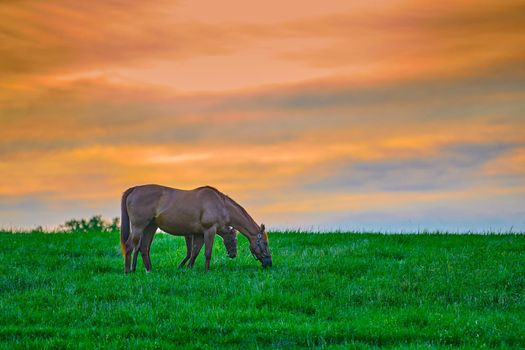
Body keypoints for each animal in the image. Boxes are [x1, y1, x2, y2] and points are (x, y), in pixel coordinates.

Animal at [120, 185, 272, 272]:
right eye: (264, 243)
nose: (269, 263)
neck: (221, 206)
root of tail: (135, 189)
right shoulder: (209, 231)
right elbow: (207, 253)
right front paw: (206, 271)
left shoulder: (199, 234)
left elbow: (194, 252)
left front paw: (188, 269)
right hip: (139, 227)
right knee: (130, 246)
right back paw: (128, 271)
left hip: (150, 227)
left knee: (143, 248)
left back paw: (149, 270)